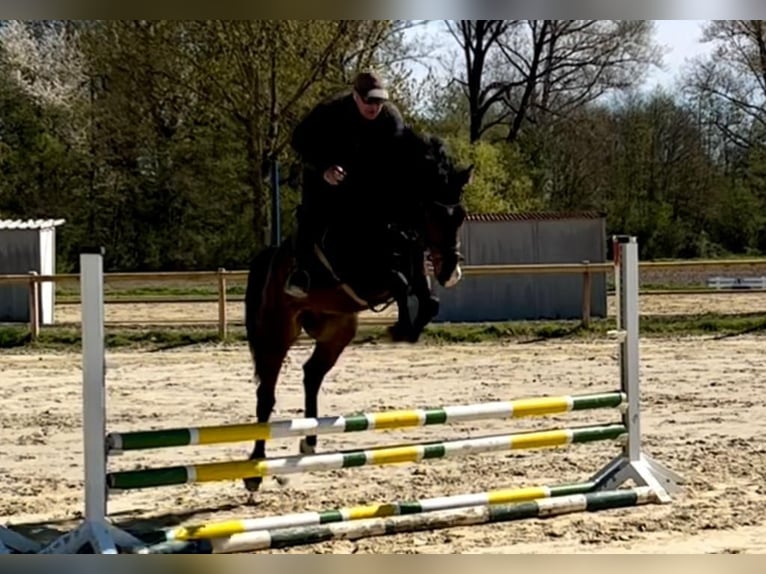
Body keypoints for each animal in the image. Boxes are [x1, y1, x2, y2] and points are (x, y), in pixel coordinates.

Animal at [242, 126, 472, 493]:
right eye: (431, 213)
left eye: (460, 215)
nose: (450, 272)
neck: (386, 218)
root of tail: (270, 260)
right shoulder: (363, 275)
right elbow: (400, 283)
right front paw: (399, 329)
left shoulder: (411, 265)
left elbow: (426, 299)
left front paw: (407, 330)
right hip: (276, 332)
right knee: (266, 394)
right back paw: (254, 470)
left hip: (337, 331)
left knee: (311, 374)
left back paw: (309, 442)